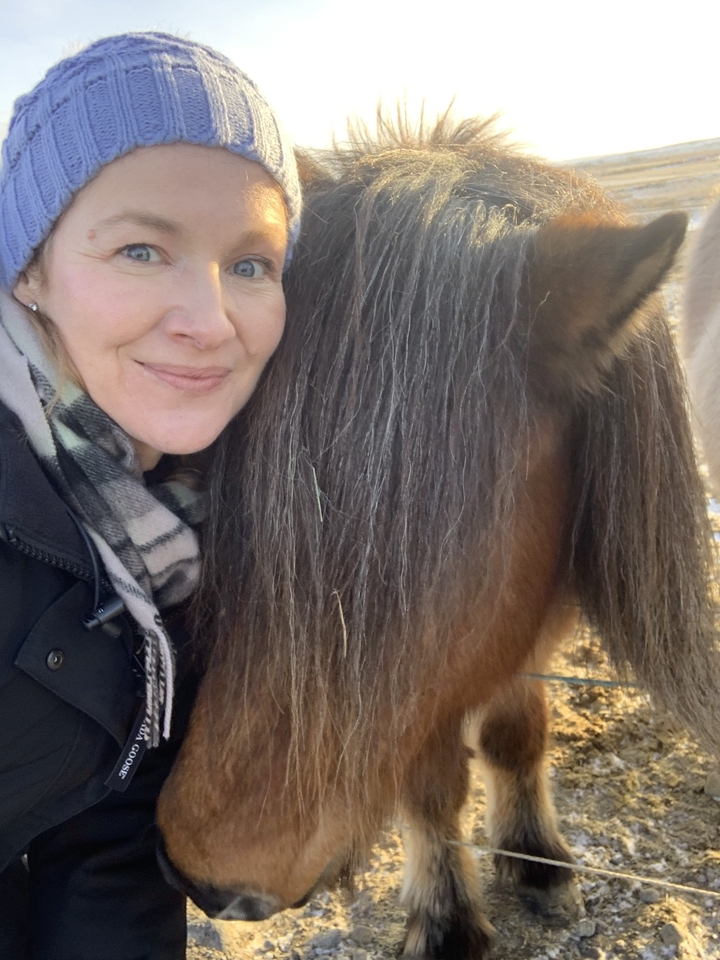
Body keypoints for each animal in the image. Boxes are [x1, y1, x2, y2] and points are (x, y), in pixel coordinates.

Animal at [156, 115, 720, 960]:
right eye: (224, 500)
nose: (208, 878)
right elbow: (431, 787)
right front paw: (448, 916)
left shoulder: (516, 624)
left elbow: (518, 734)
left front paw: (537, 860)